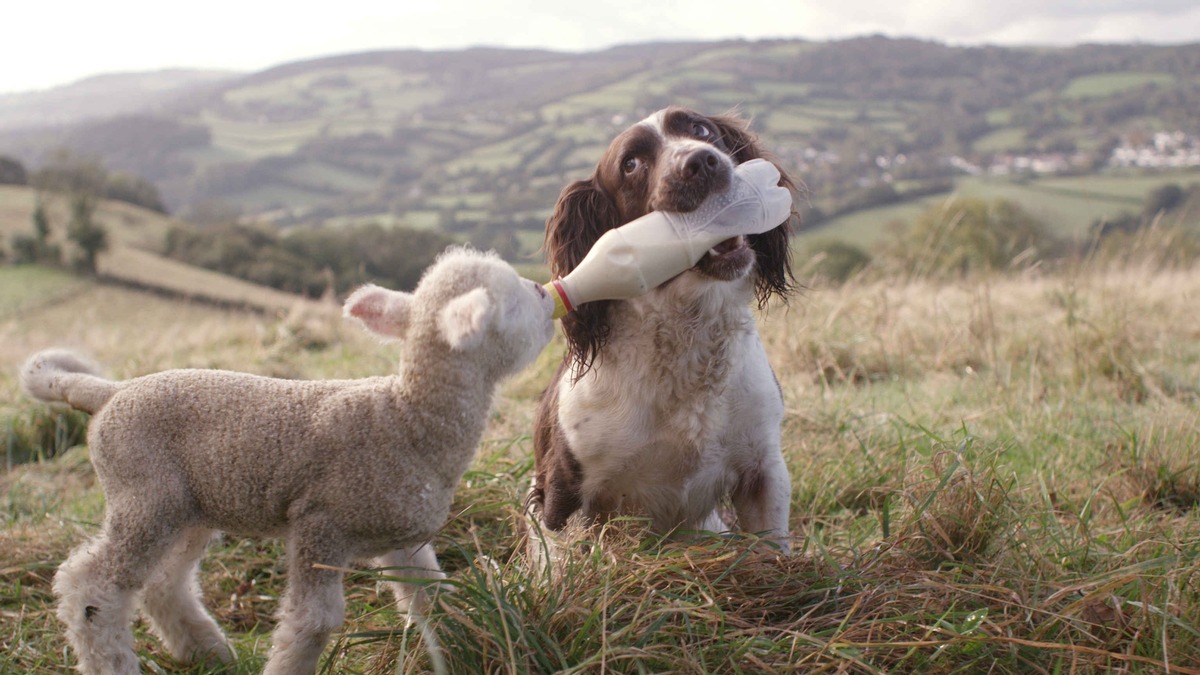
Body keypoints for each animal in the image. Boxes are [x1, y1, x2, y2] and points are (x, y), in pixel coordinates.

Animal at [19, 247, 556, 672]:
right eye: (512, 301)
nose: (547, 293)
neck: (406, 420)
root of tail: (109, 392)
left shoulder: (401, 536)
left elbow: (430, 595)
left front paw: (458, 636)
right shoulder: (319, 524)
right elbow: (312, 622)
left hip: (188, 507)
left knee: (163, 584)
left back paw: (209, 651)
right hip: (142, 494)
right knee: (91, 588)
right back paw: (114, 658)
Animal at [525, 107, 796, 554]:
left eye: (700, 129)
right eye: (631, 164)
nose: (701, 162)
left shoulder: (764, 469)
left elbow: (772, 549)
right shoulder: (562, 494)